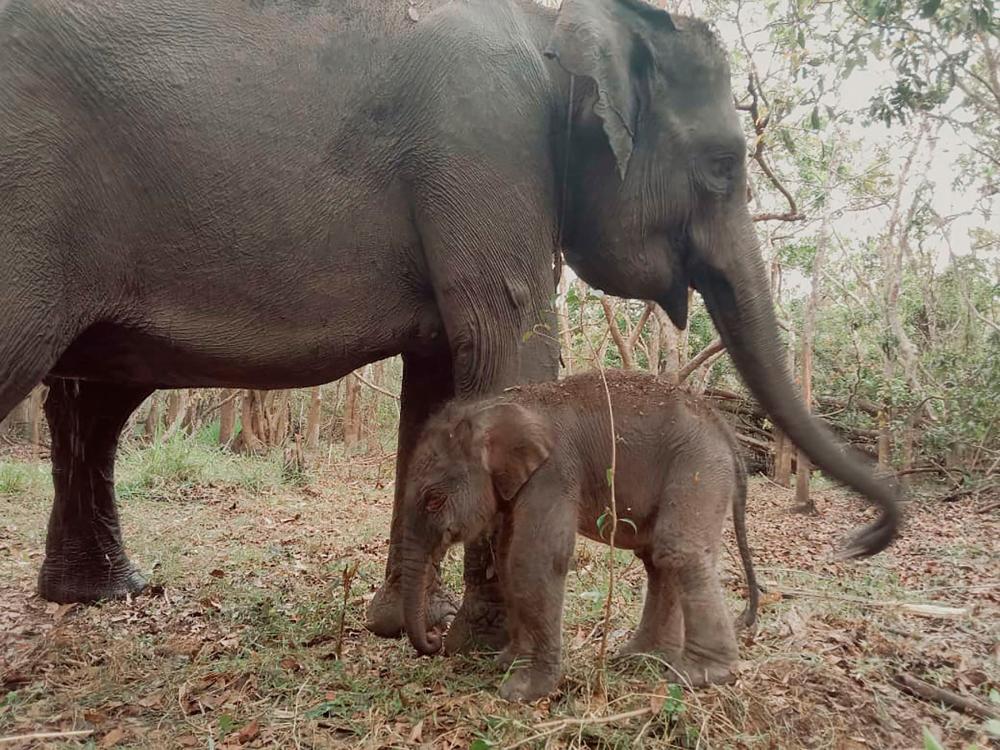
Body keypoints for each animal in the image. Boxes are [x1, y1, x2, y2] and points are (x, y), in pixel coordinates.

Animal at [0, 0, 899, 654]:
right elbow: (509, 353)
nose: (865, 538)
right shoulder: (486, 143)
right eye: (722, 165)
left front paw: (404, 626)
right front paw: (491, 645)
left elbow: (437, 387)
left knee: (91, 403)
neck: (556, 28)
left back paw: (106, 595)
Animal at [399, 371, 760, 701]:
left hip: (699, 465)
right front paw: (507, 663)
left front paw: (522, 691)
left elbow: (535, 558)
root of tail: (725, 428)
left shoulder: (554, 472)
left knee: (678, 549)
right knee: (657, 558)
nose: (435, 638)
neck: (499, 404)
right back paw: (641, 658)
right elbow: (506, 556)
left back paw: (700, 676)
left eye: (434, 500)